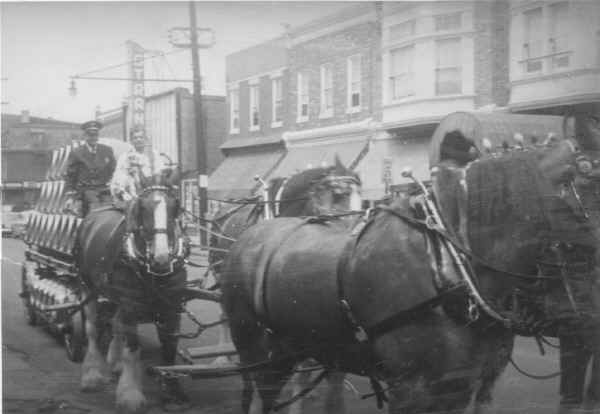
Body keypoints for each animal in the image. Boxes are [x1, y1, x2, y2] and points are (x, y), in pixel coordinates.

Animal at [75, 171, 189, 410]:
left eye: (175, 206)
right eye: (142, 208)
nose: (161, 258)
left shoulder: (171, 305)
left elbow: (169, 348)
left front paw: (173, 392)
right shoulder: (131, 303)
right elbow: (133, 349)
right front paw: (129, 393)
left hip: (119, 297)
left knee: (117, 323)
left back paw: (115, 362)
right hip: (87, 286)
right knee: (92, 329)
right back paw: (92, 374)